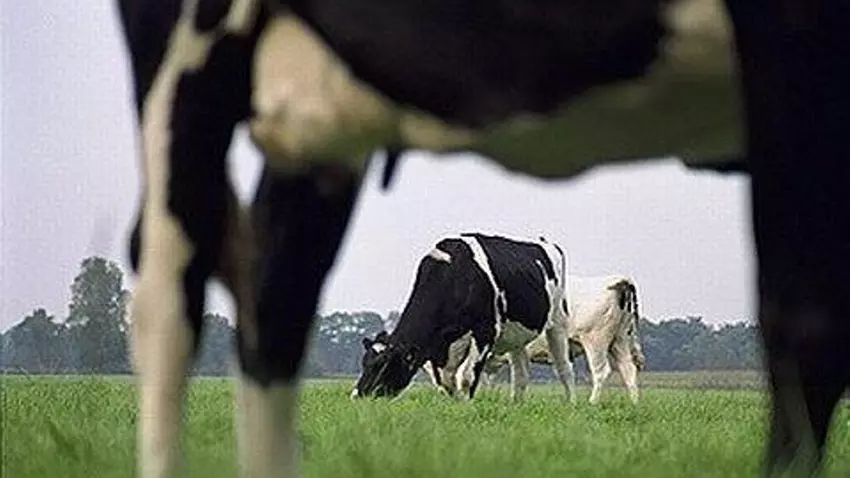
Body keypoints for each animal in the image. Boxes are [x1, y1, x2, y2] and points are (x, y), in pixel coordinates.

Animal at [350, 233, 576, 404]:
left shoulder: (485, 332)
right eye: (365, 362)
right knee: (521, 375)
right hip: (517, 333)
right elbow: (445, 384)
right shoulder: (436, 351)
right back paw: (516, 405)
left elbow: (465, 378)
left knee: (564, 367)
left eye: (383, 365)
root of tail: (545, 242)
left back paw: (570, 404)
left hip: (558, 320)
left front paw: (466, 408)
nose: (358, 396)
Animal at [435, 276, 646, 404]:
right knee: (628, 370)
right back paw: (635, 403)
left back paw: (592, 402)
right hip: (620, 339)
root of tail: (620, 280)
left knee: (601, 371)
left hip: (595, 339)